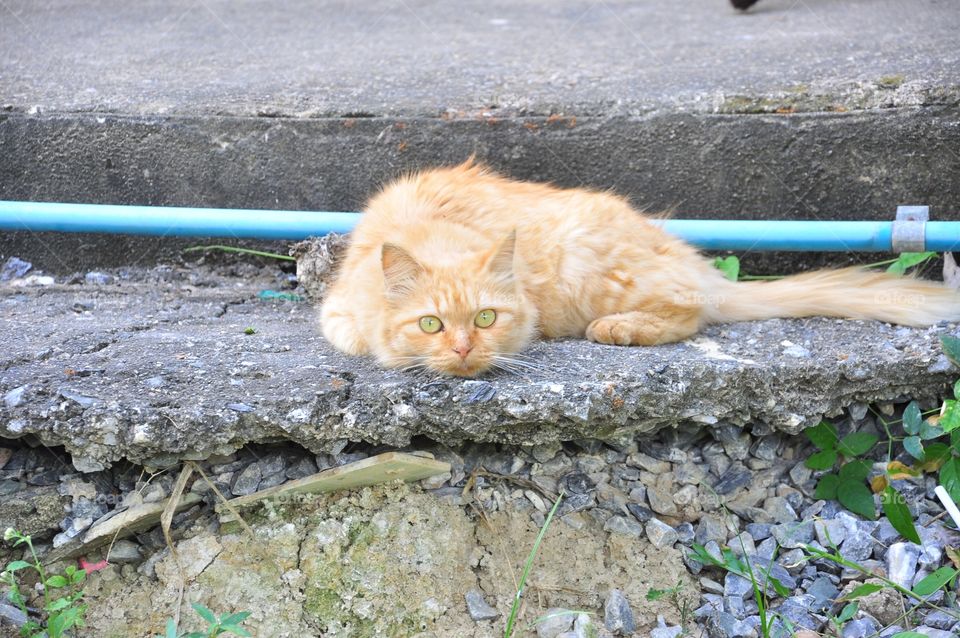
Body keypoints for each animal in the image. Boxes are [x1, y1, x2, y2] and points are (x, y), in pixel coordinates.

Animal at [322, 160, 960, 378]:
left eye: (484, 319)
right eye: (431, 324)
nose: (461, 350)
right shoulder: (336, 315)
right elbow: (357, 335)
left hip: (589, 265)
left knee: (690, 311)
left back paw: (619, 329)